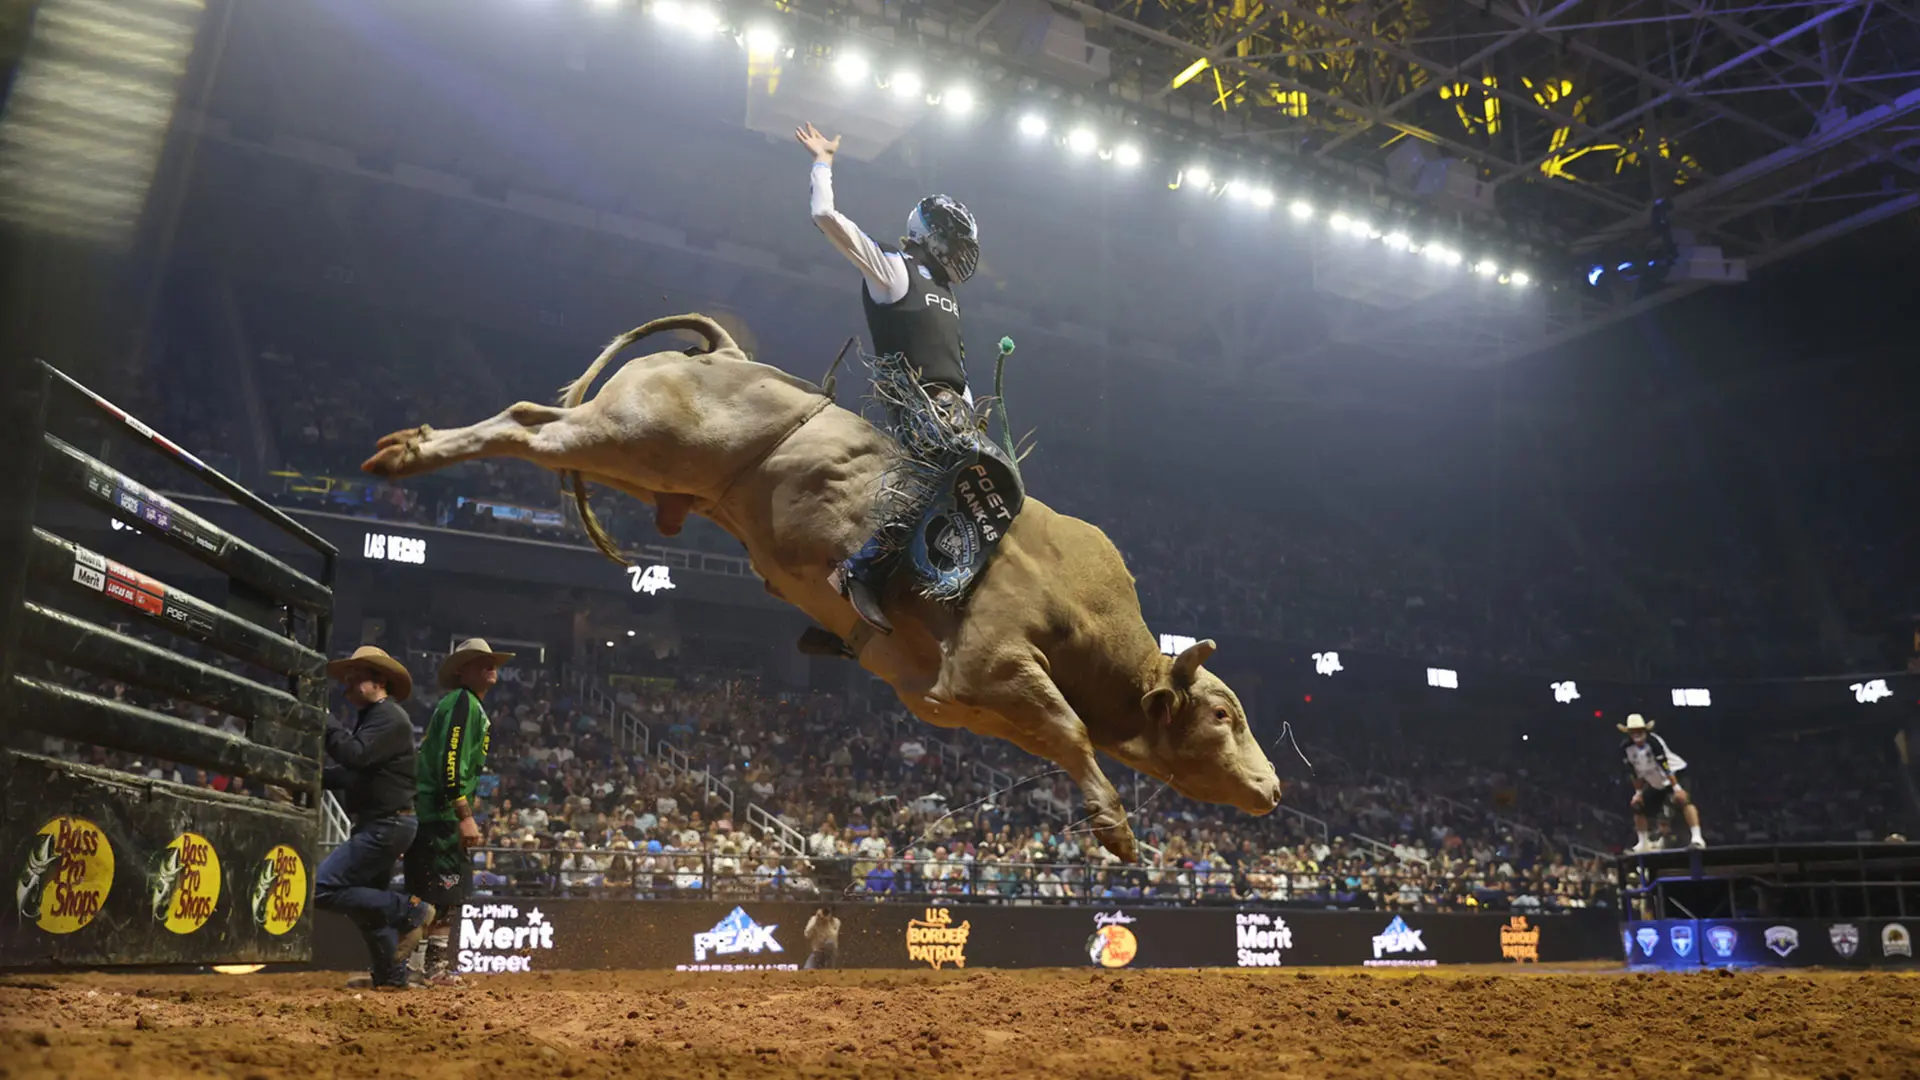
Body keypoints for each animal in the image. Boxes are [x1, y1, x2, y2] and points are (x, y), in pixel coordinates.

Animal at [364, 313, 1282, 857]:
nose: (1273, 787)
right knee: (527, 424)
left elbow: (1059, 736)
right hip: (626, 433)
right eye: (1224, 716)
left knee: (535, 425)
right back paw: (408, 452)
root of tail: (727, 357)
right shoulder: (996, 666)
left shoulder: (951, 697)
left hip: (637, 459)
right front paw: (1118, 831)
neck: (1083, 622)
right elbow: (1072, 732)